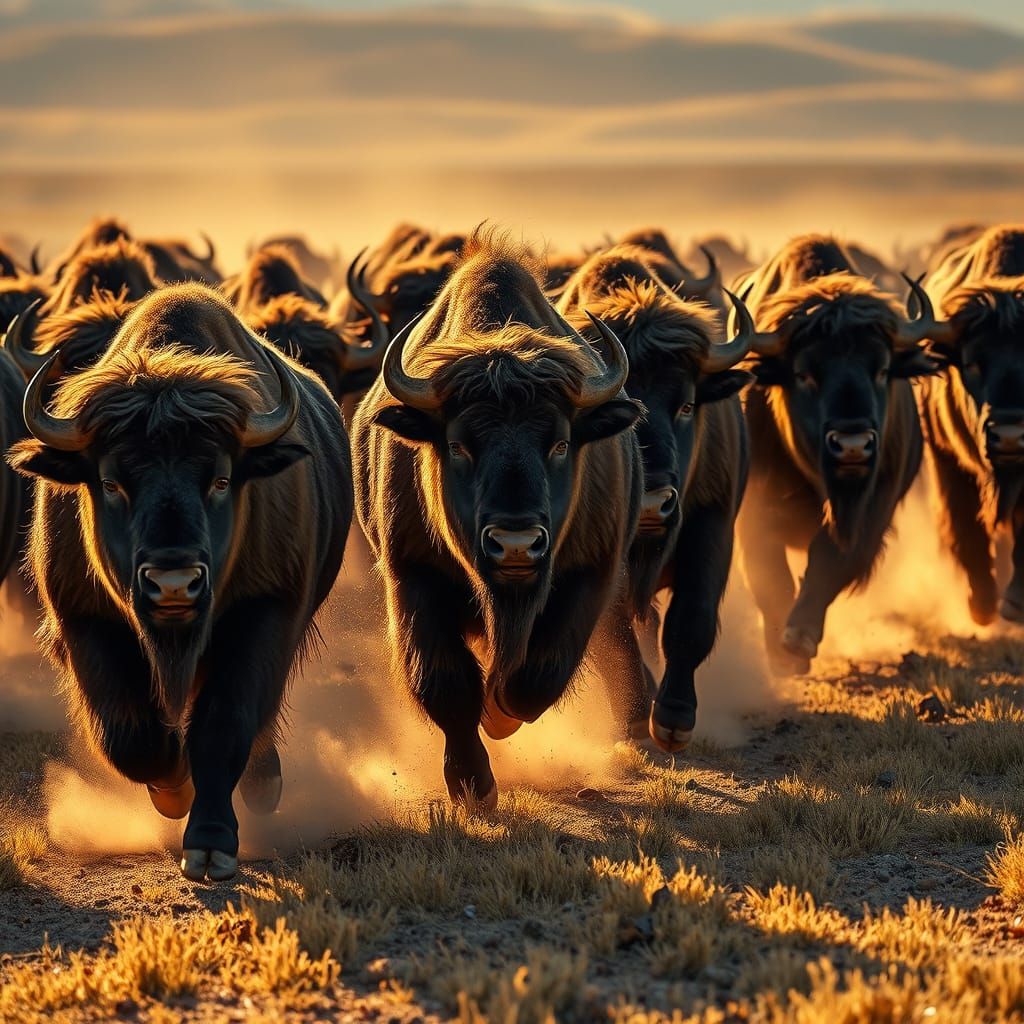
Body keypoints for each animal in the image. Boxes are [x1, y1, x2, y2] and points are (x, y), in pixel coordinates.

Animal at [9, 284, 351, 880]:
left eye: (220, 479)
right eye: (110, 482)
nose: (173, 583)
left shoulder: (265, 613)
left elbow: (224, 725)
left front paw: (211, 843)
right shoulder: (83, 618)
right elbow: (132, 736)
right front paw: (173, 790)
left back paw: (264, 785)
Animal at [351, 234, 642, 806]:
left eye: (560, 443)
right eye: (459, 445)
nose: (515, 544)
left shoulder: (589, 571)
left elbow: (537, 677)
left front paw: (498, 716)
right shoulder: (413, 576)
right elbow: (446, 682)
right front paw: (472, 782)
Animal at [736, 235, 941, 673]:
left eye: (881, 370)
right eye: (803, 373)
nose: (852, 444)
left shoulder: (872, 509)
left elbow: (830, 560)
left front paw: (798, 637)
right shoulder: (753, 509)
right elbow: (769, 573)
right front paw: (782, 654)